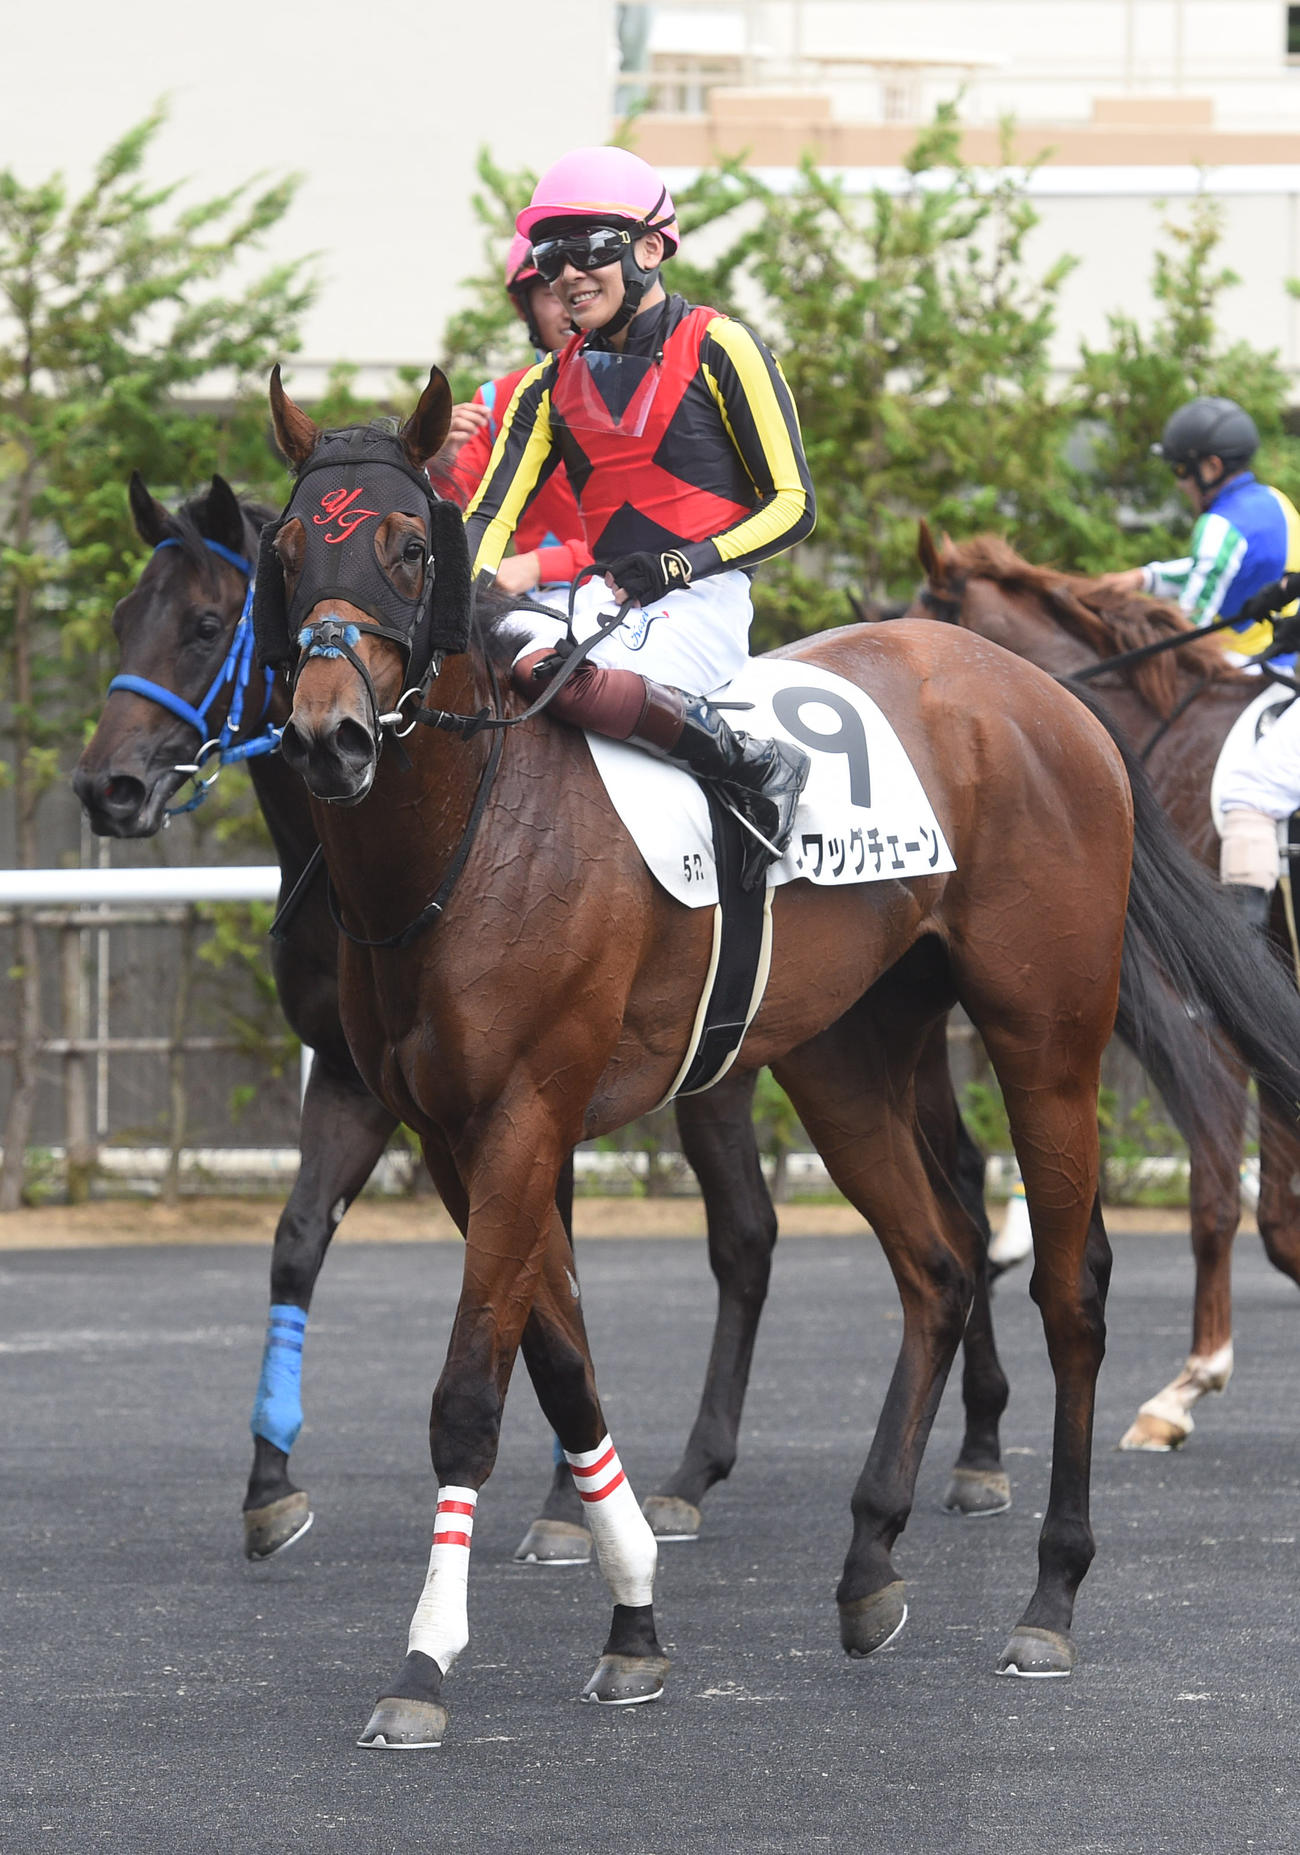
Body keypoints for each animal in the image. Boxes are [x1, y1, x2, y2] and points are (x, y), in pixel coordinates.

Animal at [72, 472, 1011, 1576]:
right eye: (124, 618)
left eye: (206, 625)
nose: (107, 787)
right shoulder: (355, 1074)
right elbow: (300, 1241)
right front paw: (271, 1482)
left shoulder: (526, 1090)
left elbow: (537, 1273)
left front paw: (572, 1502)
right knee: (906, 1205)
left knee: (819, 1220)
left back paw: (955, 1450)